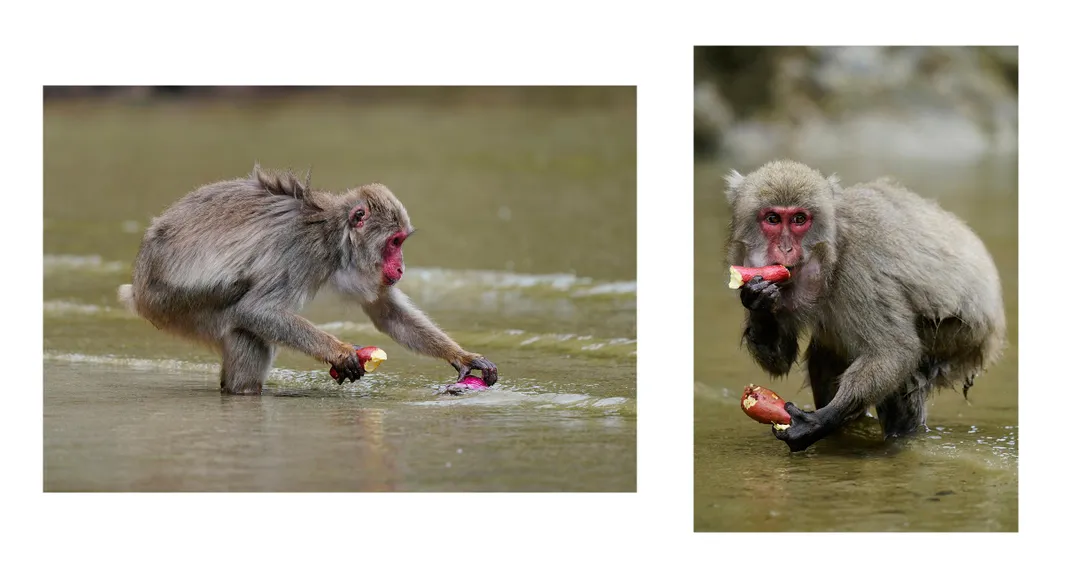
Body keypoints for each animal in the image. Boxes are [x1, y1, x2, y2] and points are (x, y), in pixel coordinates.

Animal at [117, 164, 497, 394]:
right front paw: (341, 352)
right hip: (176, 305)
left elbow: (388, 314)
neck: (335, 239)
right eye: (394, 242)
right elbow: (258, 310)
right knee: (243, 319)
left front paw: (463, 356)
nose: (401, 268)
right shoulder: (304, 253)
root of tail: (138, 286)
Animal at [724, 160, 1007, 454]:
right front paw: (758, 301)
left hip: (963, 336)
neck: (830, 256)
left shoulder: (858, 268)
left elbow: (894, 351)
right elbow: (780, 361)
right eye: (773, 219)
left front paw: (821, 421)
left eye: (799, 219)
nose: (785, 248)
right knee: (825, 356)